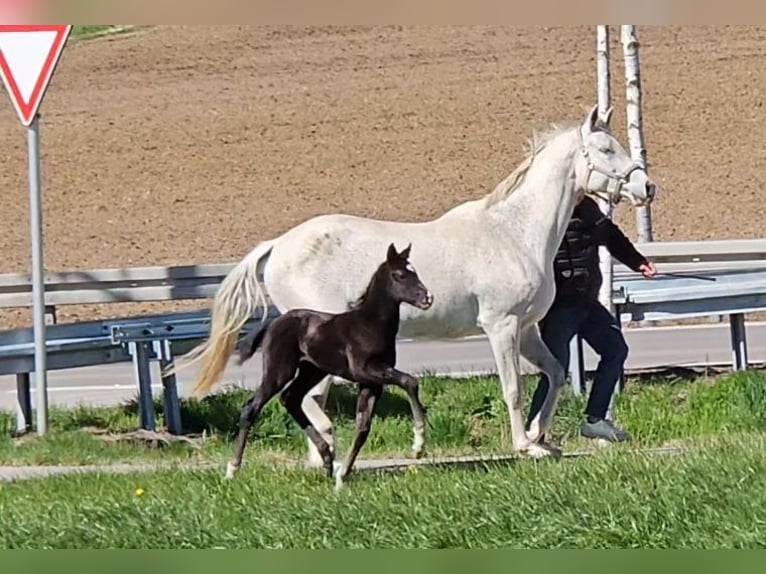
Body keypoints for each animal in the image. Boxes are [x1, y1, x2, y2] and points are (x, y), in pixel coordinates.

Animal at [224, 242, 433, 490]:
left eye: (415, 272)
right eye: (399, 275)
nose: (428, 298)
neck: (370, 325)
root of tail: (274, 323)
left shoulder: (371, 383)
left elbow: (363, 428)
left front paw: (342, 476)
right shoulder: (367, 370)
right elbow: (409, 381)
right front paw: (418, 445)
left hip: (312, 371)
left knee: (290, 398)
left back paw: (326, 458)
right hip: (279, 370)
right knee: (252, 408)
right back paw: (232, 469)